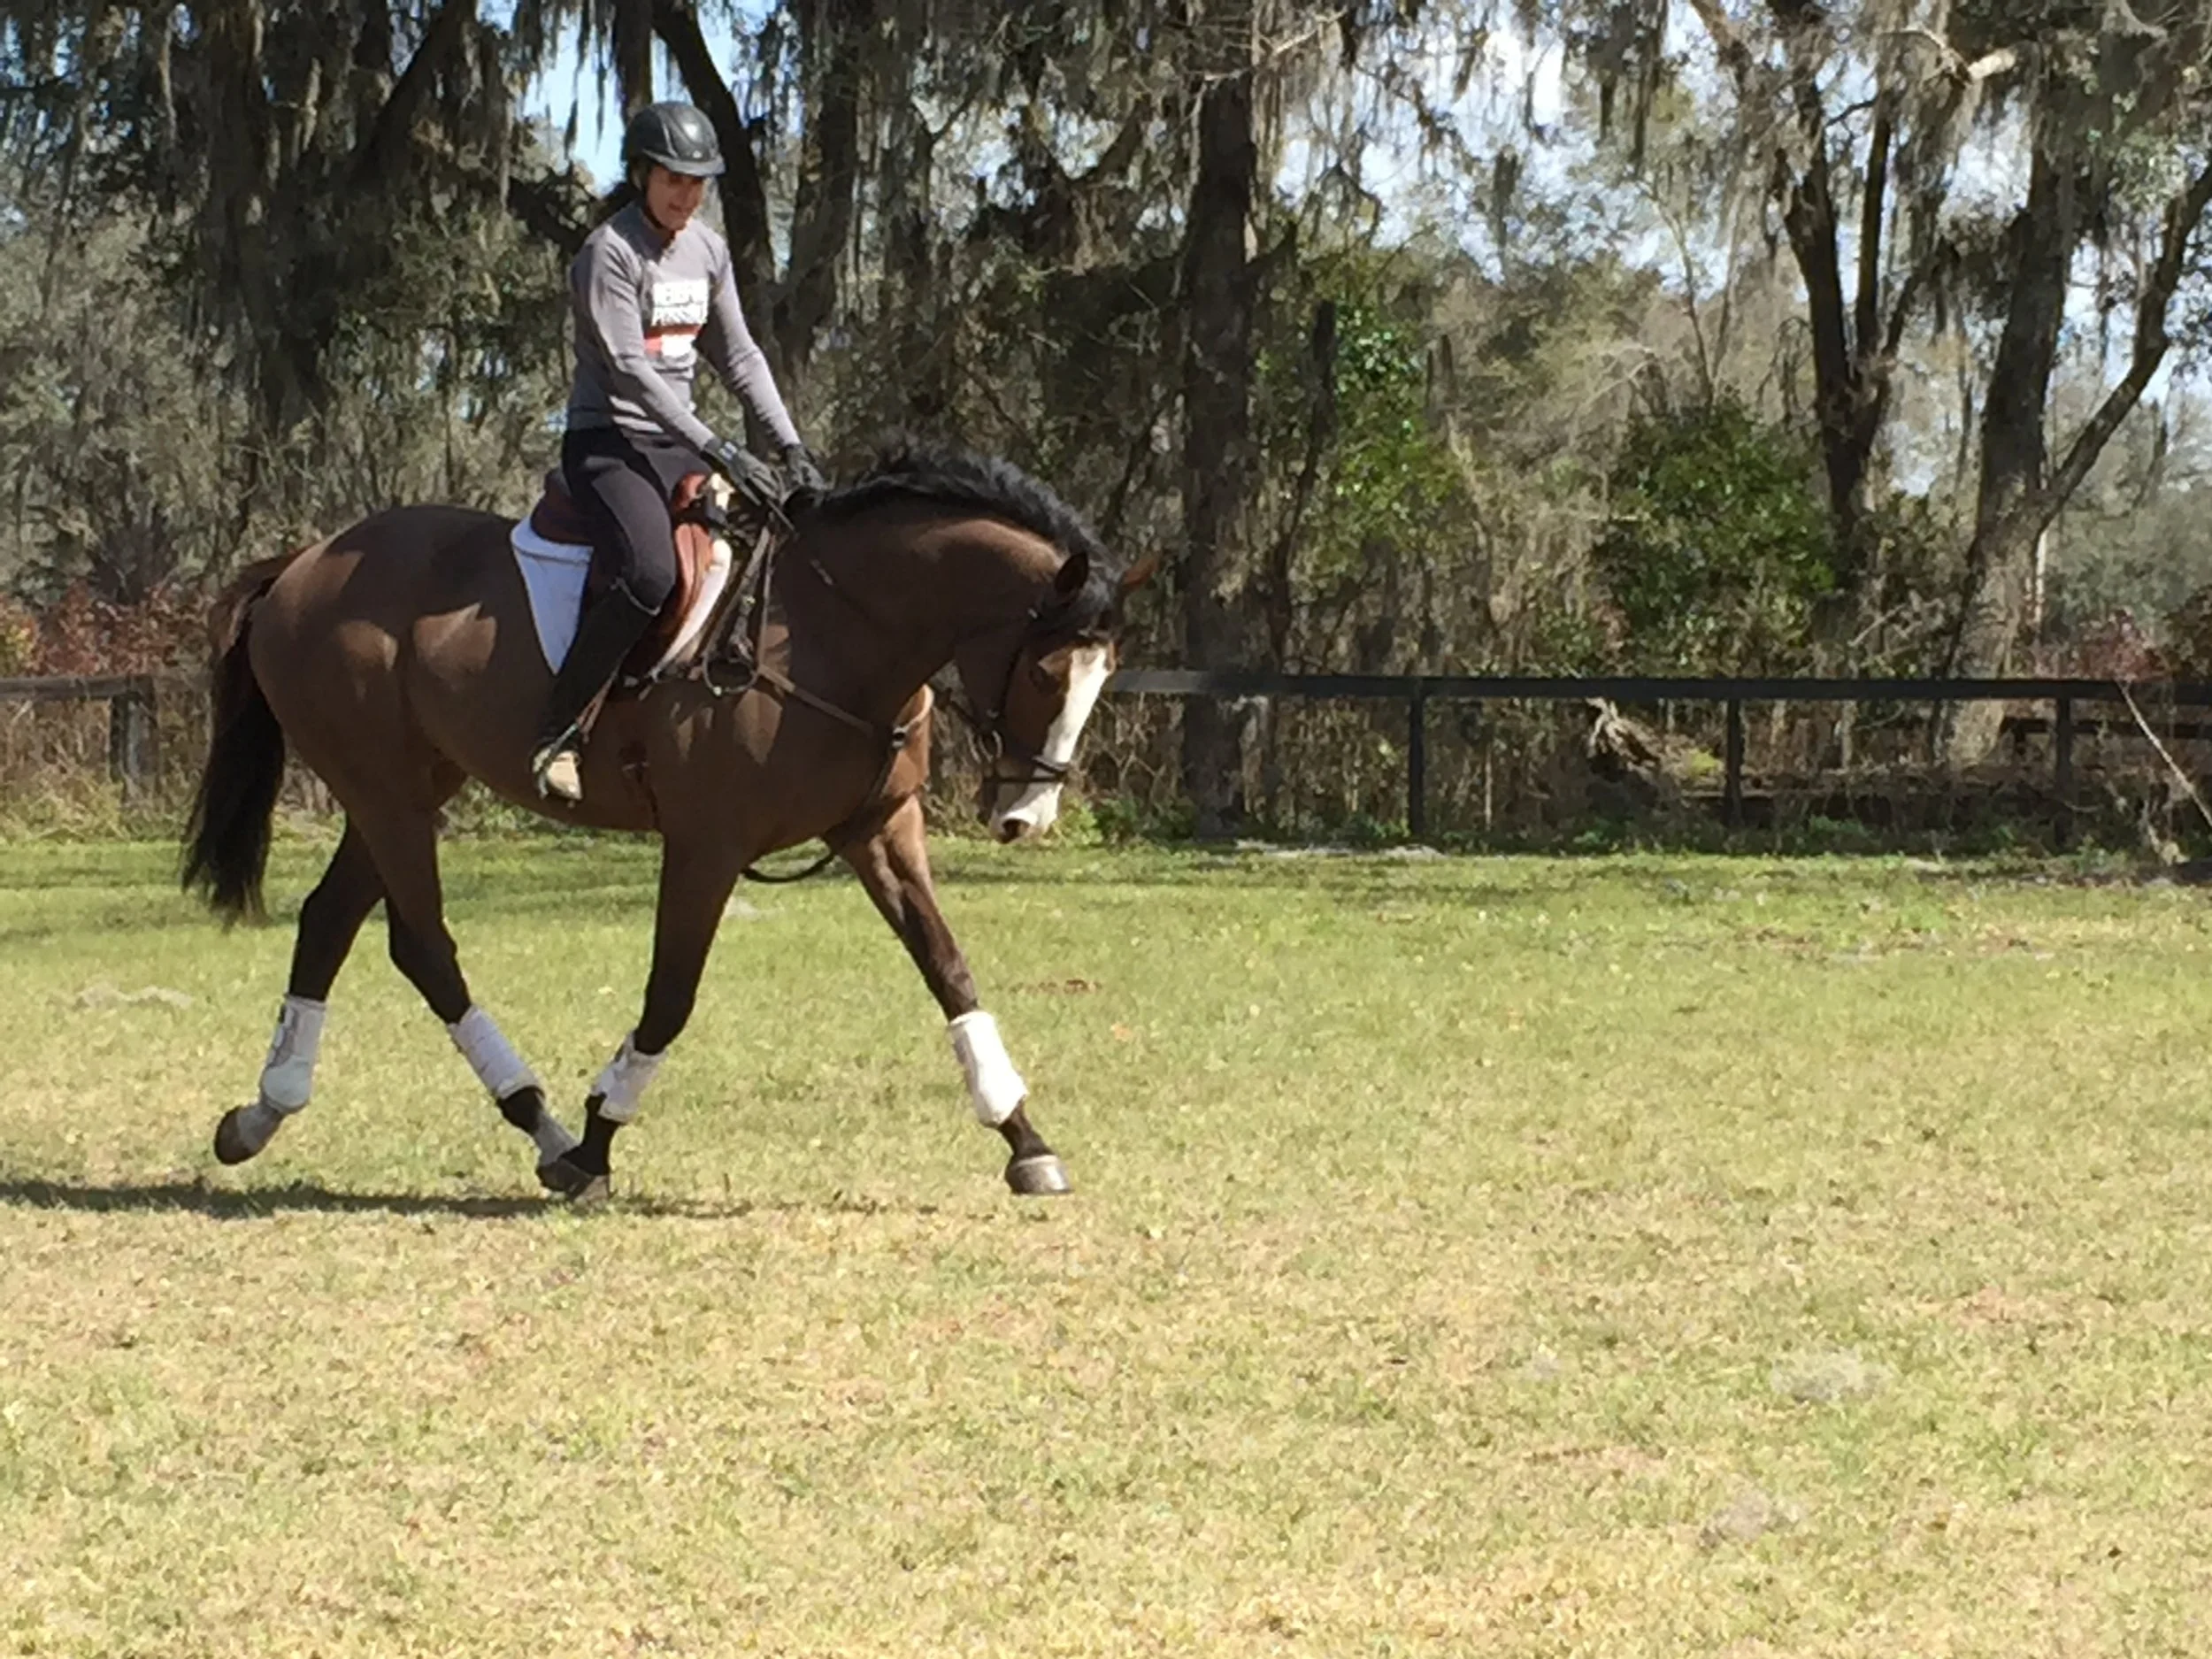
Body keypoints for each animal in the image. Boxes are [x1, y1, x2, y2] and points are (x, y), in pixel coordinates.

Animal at [179, 445, 1149, 1201]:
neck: (835, 628)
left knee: (331, 922)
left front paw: (1025, 1141)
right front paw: (598, 1137)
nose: (1026, 815)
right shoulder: (707, 845)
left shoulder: (879, 828)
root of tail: (305, 561)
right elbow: (670, 995)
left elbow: (949, 968)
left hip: (404, 790)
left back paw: (262, 1114)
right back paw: (542, 1126)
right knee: (423, 946)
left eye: (1105, 674)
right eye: (1046, 672)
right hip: (386, 795)